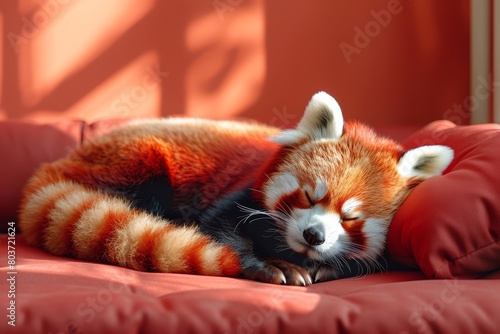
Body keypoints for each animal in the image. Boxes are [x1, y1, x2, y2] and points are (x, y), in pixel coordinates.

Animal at [17, 91, 454, 284]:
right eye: (309, 195)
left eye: (350, 219)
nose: (313, 235)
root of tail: (65, 159)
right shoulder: (238, 194)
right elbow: (222, 231)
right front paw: (269, 266)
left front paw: (326, 268)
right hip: (137, 164)